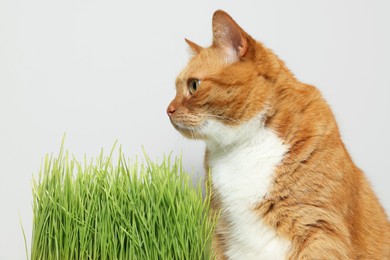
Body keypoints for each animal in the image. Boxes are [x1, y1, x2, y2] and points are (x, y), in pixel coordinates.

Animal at [166, 10, 388, 260]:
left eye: (193, 85)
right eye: (175, 88)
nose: (168, 109)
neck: (243, 146)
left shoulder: (319, 228)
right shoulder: (219, 233)